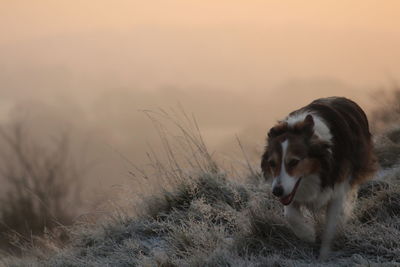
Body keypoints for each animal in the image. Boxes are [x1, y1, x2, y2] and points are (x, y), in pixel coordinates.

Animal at [260, 97, 376, 260]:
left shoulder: (338, 188)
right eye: (272, 163)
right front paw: (307, 234)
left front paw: (324, 253)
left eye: (294, 162)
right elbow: (290, 215)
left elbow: (331, 225)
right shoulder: (291, 194)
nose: (276, 192)